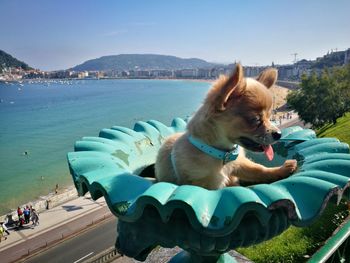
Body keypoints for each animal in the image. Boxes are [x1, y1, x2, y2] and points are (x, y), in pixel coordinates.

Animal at [154, 63, 296, 190]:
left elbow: (258, 169)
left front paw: (281, 170)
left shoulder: (240, 164)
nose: (278, 134)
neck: (222, 154)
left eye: (269, 116)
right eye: (255, 120)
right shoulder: (202, 183)